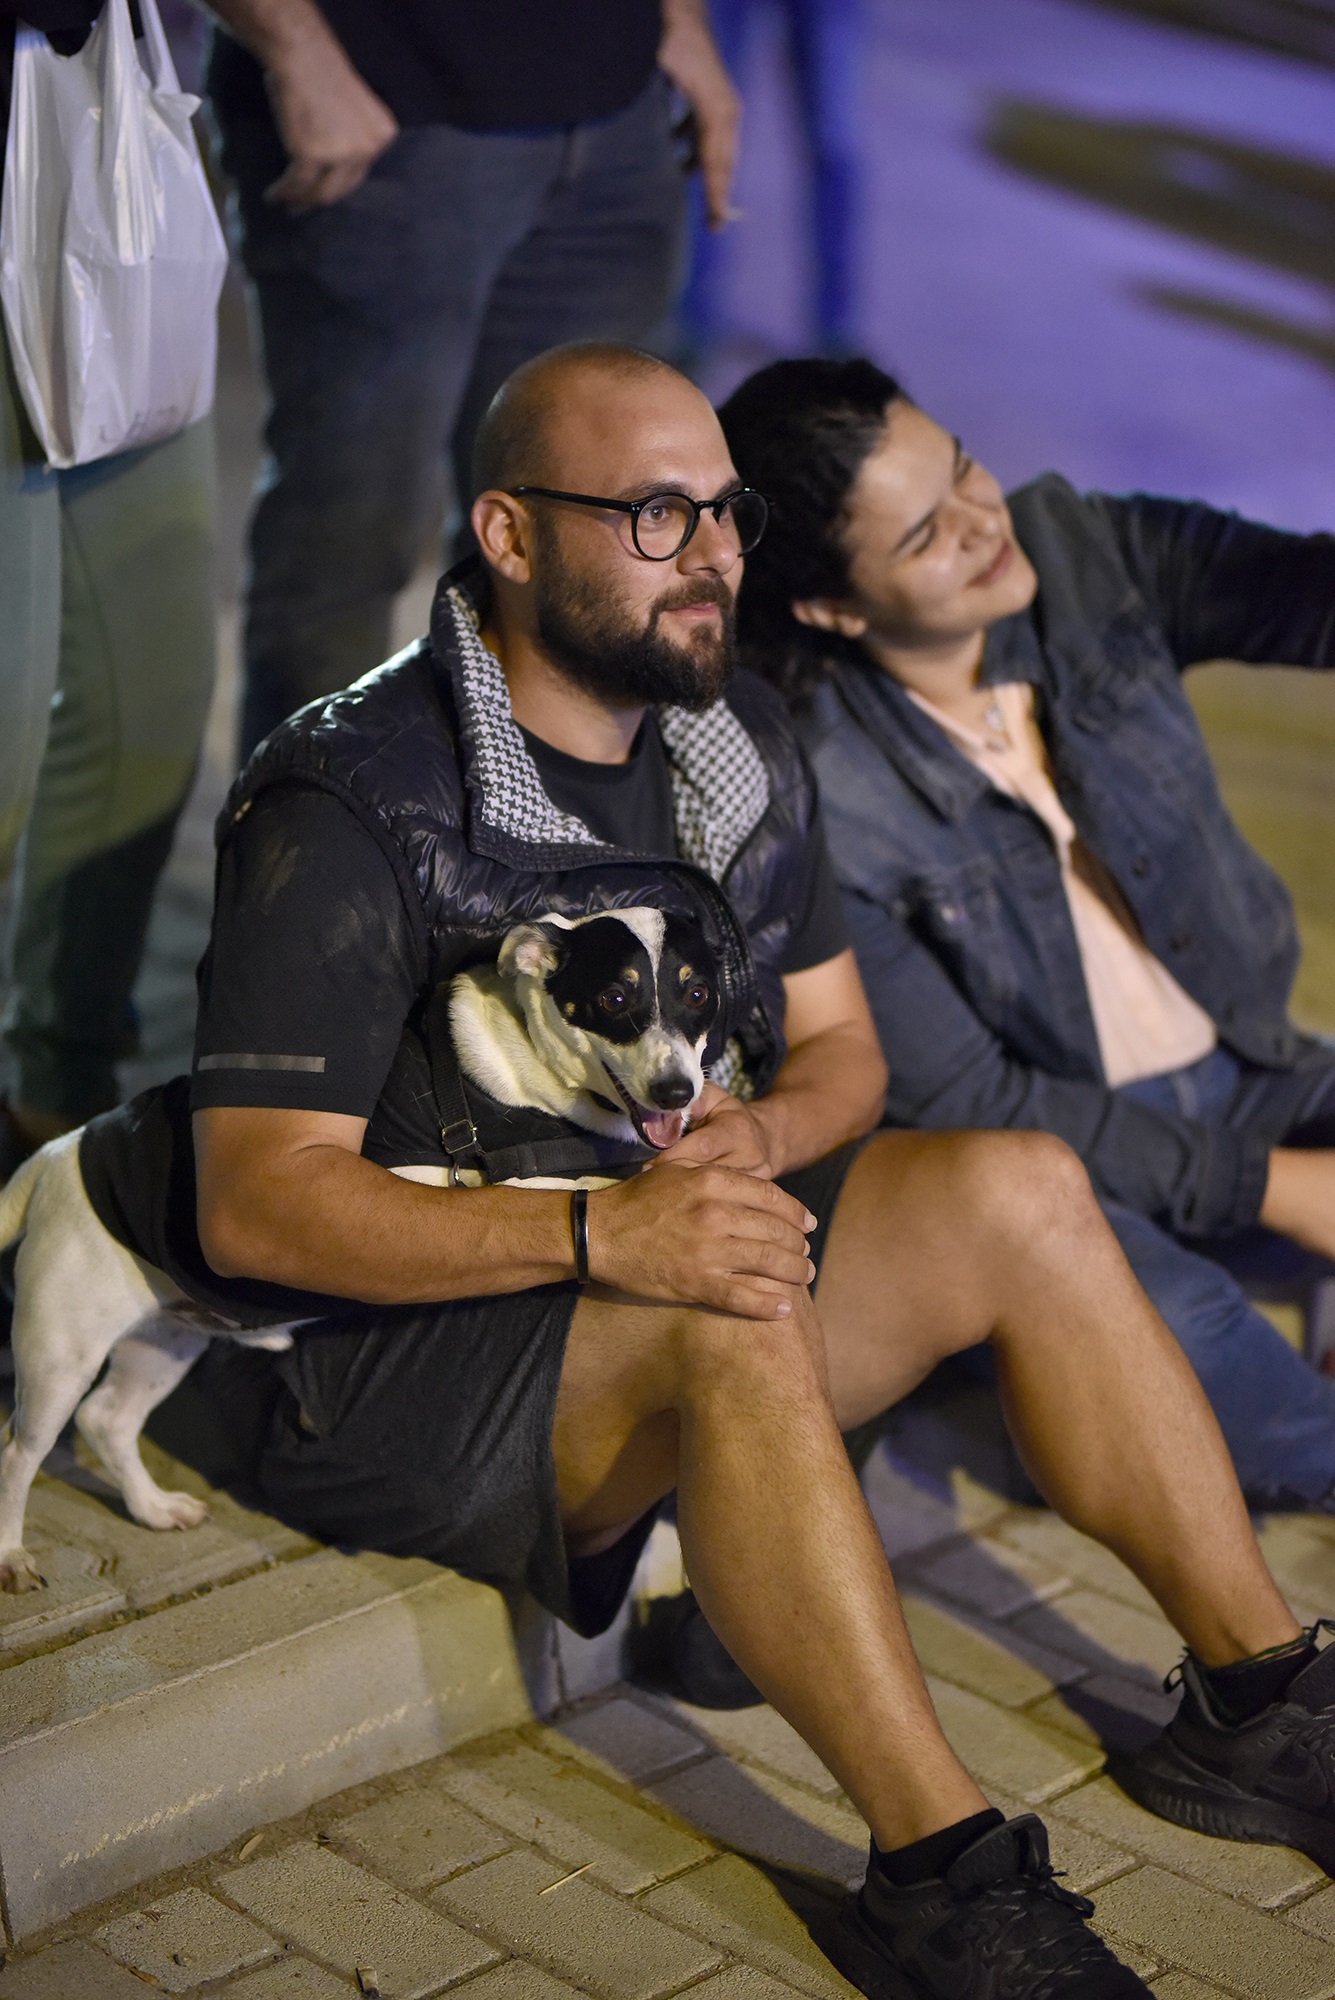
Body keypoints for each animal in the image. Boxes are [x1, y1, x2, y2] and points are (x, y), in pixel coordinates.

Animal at [0, 907, 719, 1591]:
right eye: (614, 998)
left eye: (698, 994)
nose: (677, 1092)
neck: (533, 1075)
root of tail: (55, 1156)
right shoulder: (450, 1185)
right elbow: (594, 1185)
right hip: (60, 1352)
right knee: (19, 1452)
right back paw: (12, 1556)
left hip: (166, 1340)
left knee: (108, 1419)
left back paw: (152, 1508)